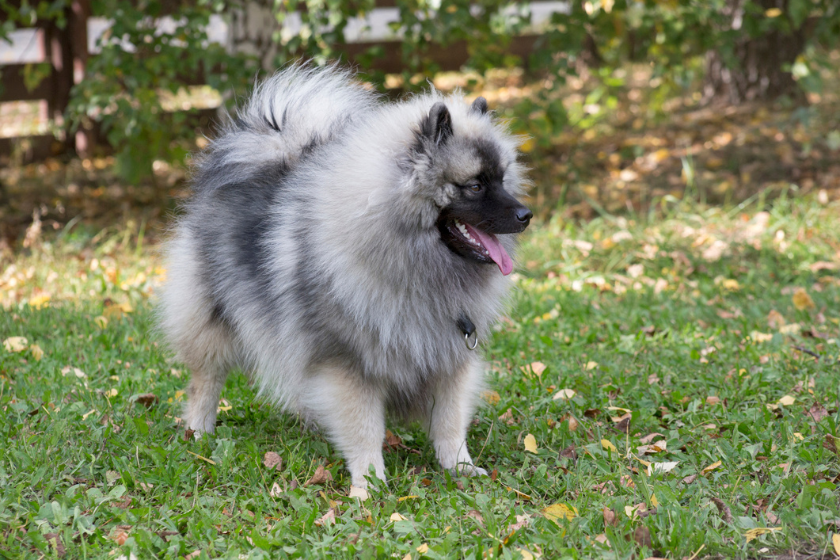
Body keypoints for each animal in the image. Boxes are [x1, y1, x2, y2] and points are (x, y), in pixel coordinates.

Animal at [159, 64, 532, 486]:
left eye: (503, 178)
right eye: (474, 185)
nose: (526, 215)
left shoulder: (448, 355)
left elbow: (450, 421)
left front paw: (460, 467)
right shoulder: (350, 364)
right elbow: (364, 428)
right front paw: (368, 485)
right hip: (212, 321)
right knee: (205, 380)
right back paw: (198, 432)